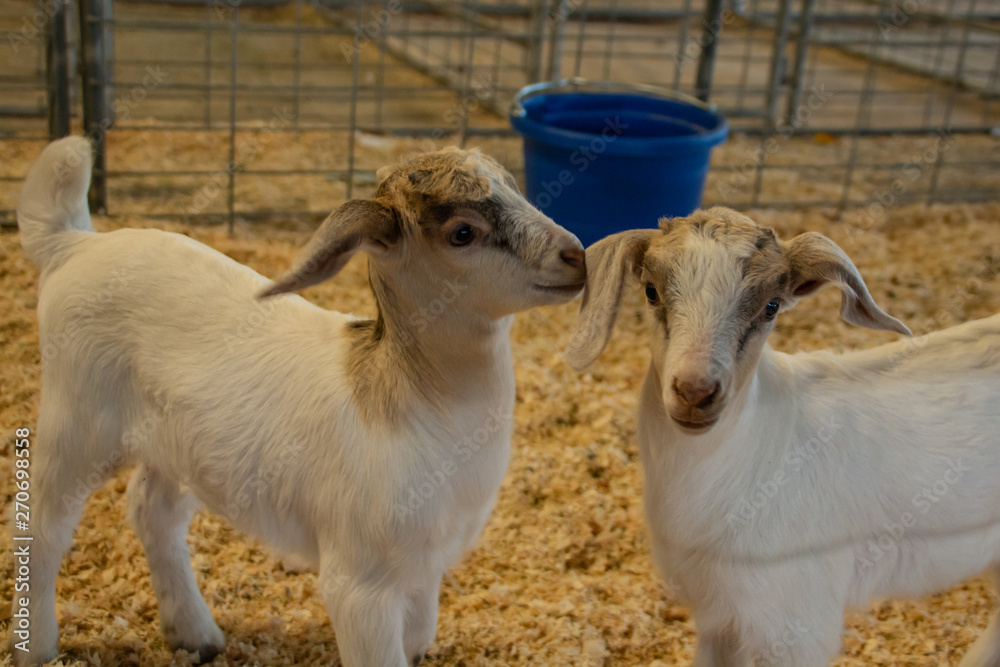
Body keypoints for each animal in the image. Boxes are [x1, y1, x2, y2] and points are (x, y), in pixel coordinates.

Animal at [9, 136, 586, 667]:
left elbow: (419, 638)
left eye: (516, 190)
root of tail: (74, 245)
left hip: (173, 446)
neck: (414, 402)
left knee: (154, 512)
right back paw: (36, 648)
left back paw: (194, 634)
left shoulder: (425, 566)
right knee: (43, 529)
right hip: (75, 421)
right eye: (462, 232)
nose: (576, 255)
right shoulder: (360, 583)